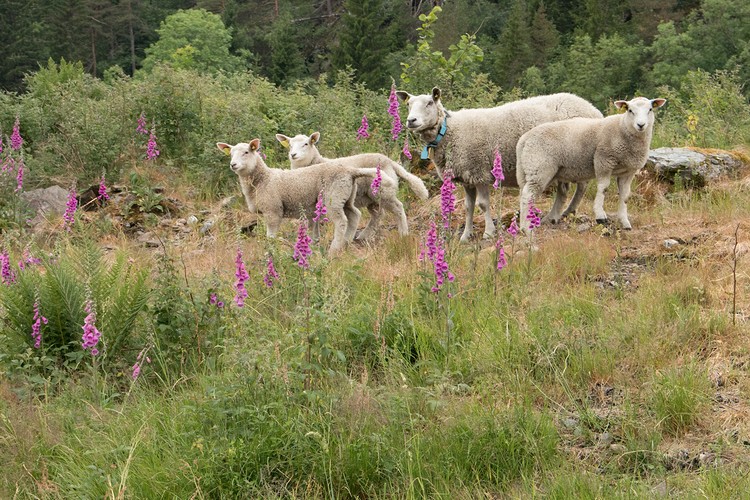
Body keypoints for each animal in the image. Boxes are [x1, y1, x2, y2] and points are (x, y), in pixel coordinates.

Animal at [216, 138, 396, 253]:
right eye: (230, 154)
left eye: (246, 152)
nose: (233, 164)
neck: (263, 179)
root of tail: (350, 171)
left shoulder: (273, 211)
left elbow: (270, 237)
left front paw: (273, 253)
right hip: (346, 196)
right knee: (354, 215)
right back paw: (346, 243)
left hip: (333, 198)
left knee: (342, 221)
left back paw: (334, 249)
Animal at [275, 131, 429, 240]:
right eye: (289, 145)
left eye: (306, 144)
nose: (293, 154)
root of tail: (390, 161)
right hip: (371, 197)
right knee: (378, 214)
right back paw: (363, 235)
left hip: (383, 192)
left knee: (398, 208)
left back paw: (404, 233)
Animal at [396, 88, 603, 242]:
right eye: (408, 104)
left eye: (429, 103)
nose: (411, 121)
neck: (448, 131)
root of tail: (594, 109)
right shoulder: (467, 177)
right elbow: (469, 207)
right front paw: (466, 235)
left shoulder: (479, 171)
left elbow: (483, 204)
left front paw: (488, 232)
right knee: (565, 189)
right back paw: (555, 215)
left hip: (574, 154)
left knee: (581, 186)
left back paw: (565, 212)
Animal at [516, 96, 667, 232]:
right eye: (630, 110)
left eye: (650, 109)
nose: (641, 125)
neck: (622, 128)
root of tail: (524, 139)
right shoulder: (603, 160)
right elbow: (603, 188)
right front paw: (600, 215)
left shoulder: (628, 171)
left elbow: (625, 196)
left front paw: (625, 222)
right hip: (540, 167)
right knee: (528, 195)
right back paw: (526, 228)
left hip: (529, 169)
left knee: (526, 194)